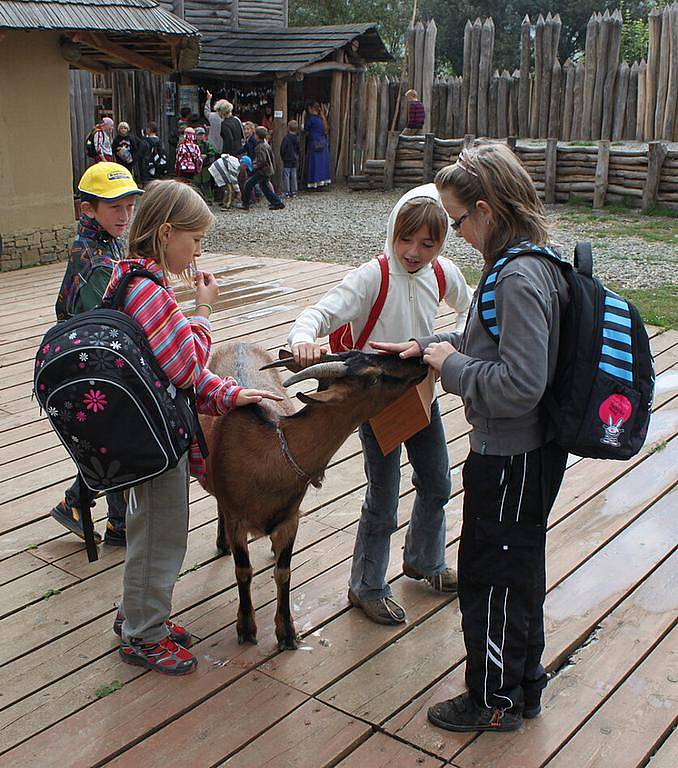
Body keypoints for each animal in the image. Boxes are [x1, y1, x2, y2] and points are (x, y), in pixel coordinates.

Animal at [199, 344, 428, 652]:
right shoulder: (238, 520)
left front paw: (286, 632)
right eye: (374, 377)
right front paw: (246, 628)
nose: (419, 360)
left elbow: (284, 572)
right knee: (219, 506)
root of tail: (239, 345)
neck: (270, 456)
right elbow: (243, 571)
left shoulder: (290, 519)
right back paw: (221, 543)